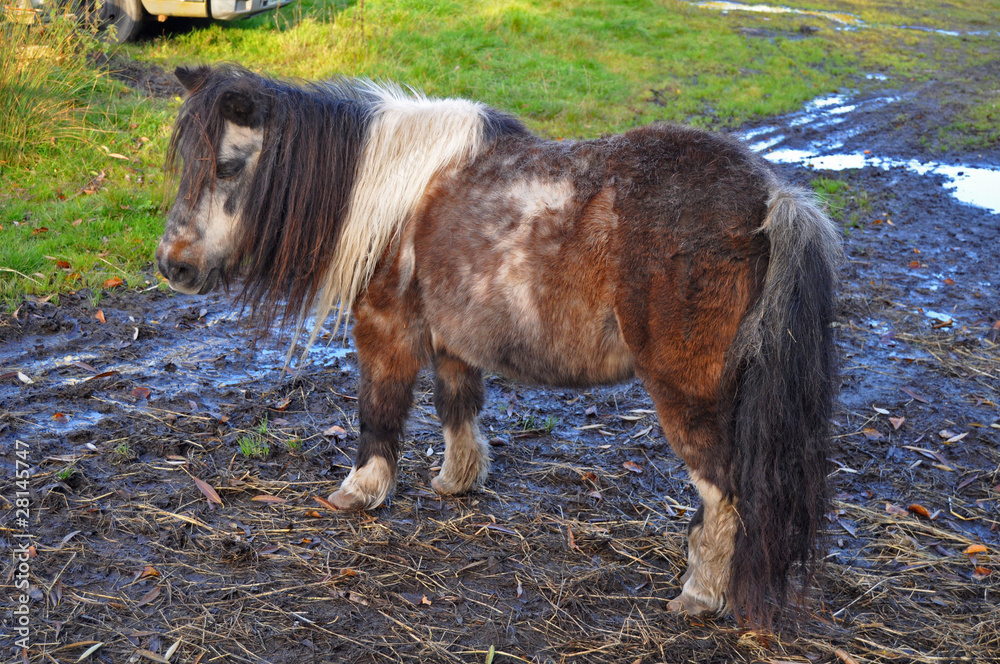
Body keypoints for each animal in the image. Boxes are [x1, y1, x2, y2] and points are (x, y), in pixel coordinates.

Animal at [157, 64, 840, 627]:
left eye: (227, 167)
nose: (173, 266)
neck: (390, 194)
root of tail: (770, 201)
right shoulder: (452, 334)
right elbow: (457, 404)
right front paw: (458, 481)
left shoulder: (386, 326)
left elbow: (378, 411)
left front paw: (361, 491)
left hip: (689, 394)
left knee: (723, 492)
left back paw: (700, 595)